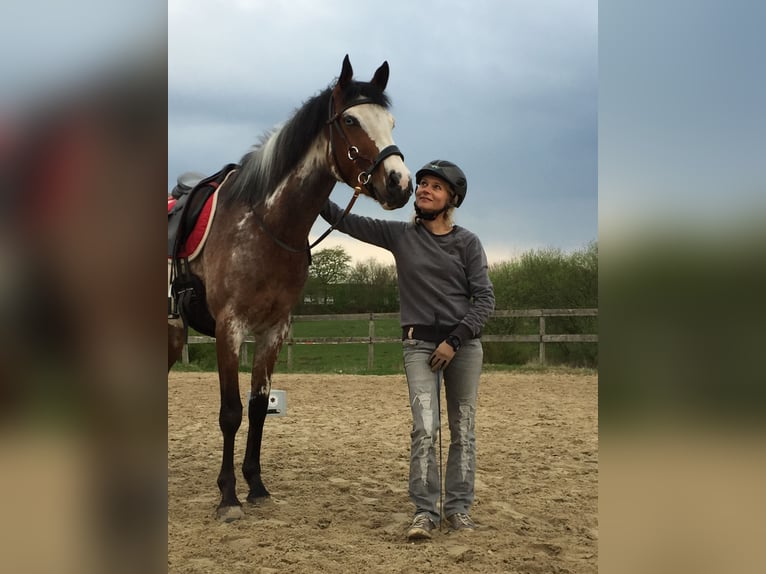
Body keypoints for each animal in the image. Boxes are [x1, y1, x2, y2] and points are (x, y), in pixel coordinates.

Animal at [167, 55, 413, 521]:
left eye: (392, 121)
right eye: (350, 119)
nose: (400, 183)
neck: (267, 223)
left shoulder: (274, 329)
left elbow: (259, 407)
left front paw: (256, 486)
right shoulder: (230, 328)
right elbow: (231, 412)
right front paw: (228, 497)